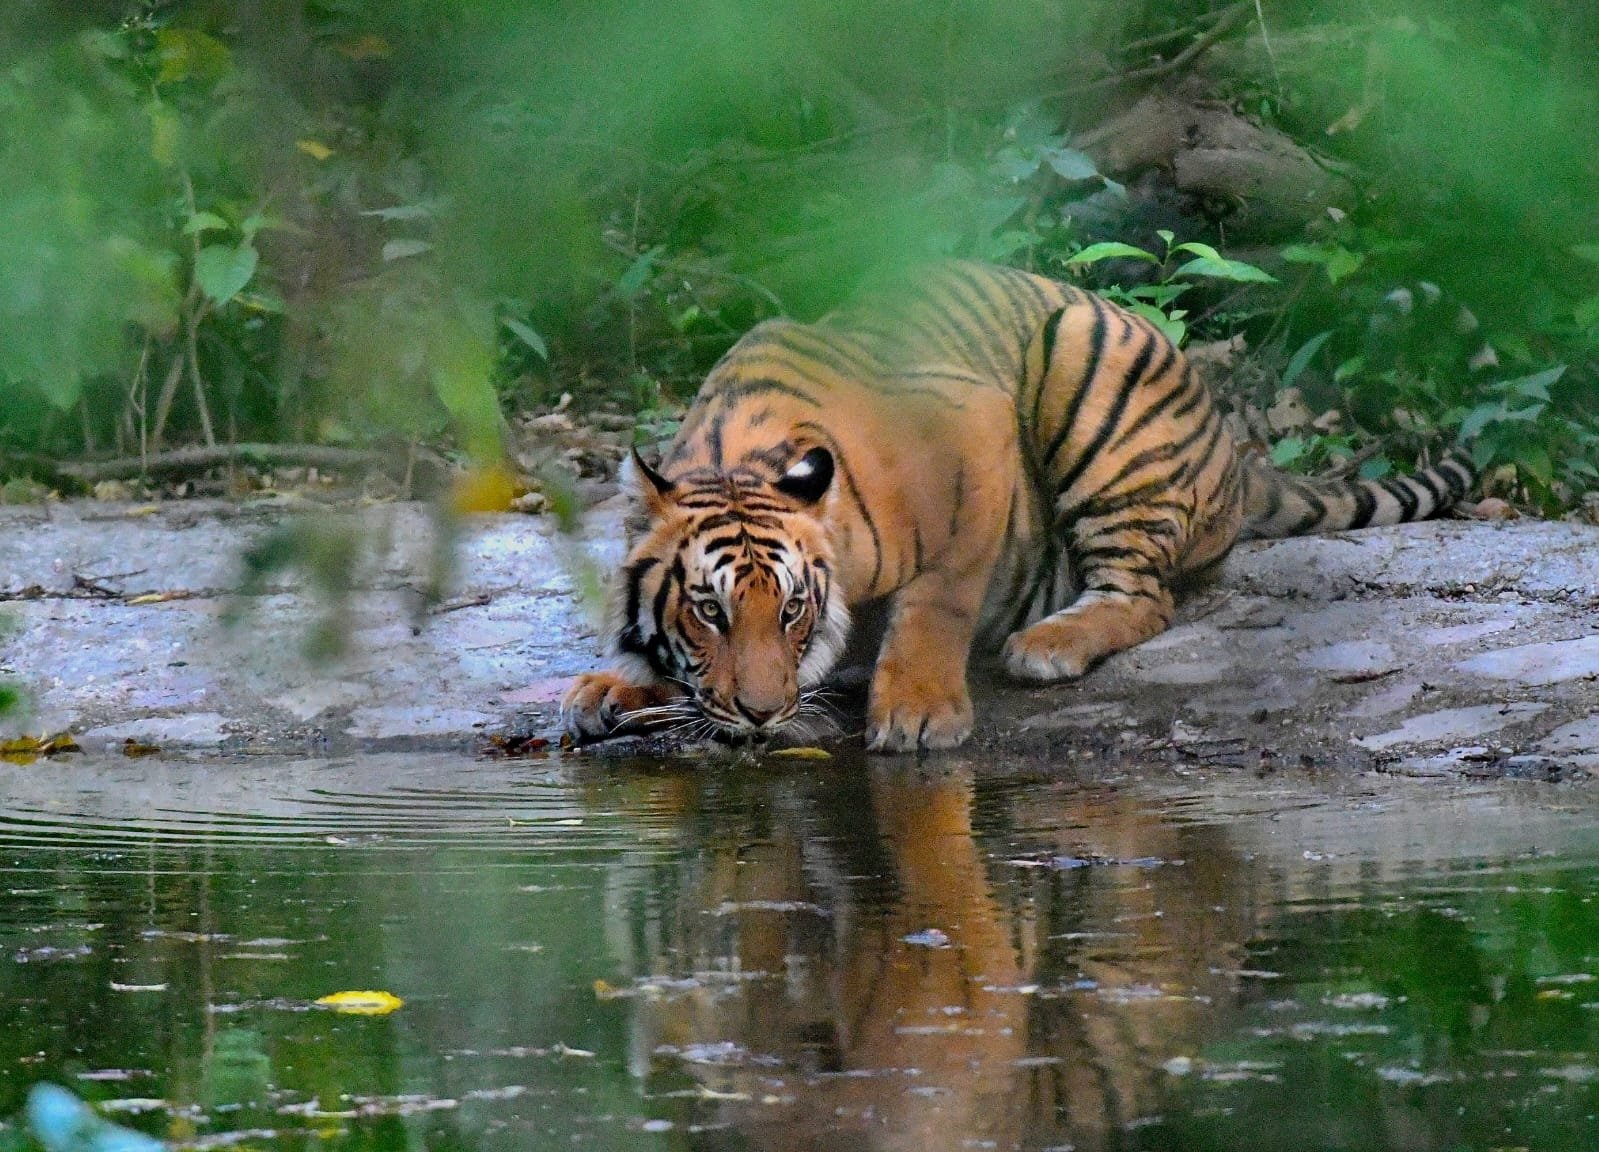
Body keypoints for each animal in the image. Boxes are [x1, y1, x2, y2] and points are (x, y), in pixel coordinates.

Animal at [562, 260, 1475, 752]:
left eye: (791, 610)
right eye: (709, 611)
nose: (761, 713)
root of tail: (1231, 445)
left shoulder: (975, 428)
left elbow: (939, 597)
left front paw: (918, 713)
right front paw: (612, 684)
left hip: (1083, 364)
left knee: (1145, 596)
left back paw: (1048, 644)